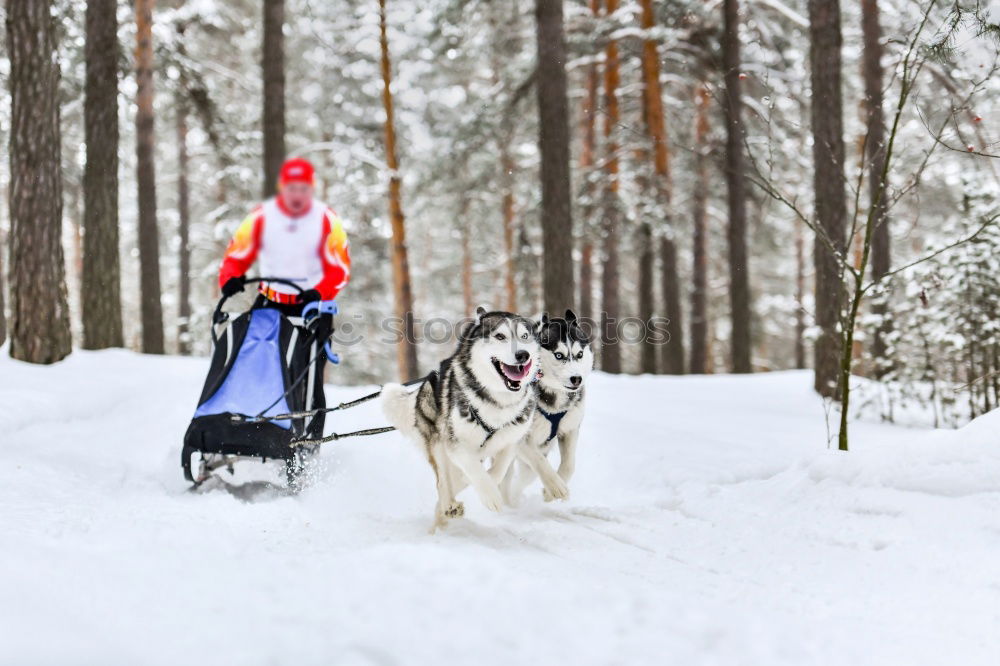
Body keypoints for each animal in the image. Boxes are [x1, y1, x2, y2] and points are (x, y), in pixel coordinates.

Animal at [382, 304, 540, 528]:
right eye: (500, 336)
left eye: (524, 336)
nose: (523, 355)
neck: (497, 401)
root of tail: (423, 385)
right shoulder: (455, 444)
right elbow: (472, 469)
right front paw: (490, 495)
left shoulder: (510, 441)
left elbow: (498, 470)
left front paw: (484, 484)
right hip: (437, 443)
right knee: (442, 482)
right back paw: (449, 505)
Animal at [504, 310, 588, 504]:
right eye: (559, 355)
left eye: (580, 354)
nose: (577, 379)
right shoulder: (521, 439)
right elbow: (539, 462)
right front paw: (556, 487)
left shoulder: (570, 429)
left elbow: (569, 465)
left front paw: (549, 492)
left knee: (523, 478)